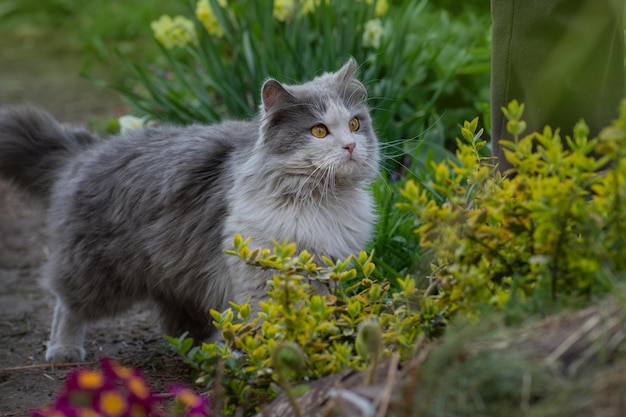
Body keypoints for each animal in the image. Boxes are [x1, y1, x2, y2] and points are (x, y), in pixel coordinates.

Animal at [0, 58, 378, 360]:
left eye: (355, 124)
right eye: (319, 131)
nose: (350, 146)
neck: (319, 199)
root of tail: (86, 151)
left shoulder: (326, 272)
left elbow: (317, 320)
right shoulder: (260, 274)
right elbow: (269, 324)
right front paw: (275, 362)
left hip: (178, 274)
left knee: (184, 325)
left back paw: (208, 355)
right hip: (100, 272)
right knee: (67, 304)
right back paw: (63, 350)